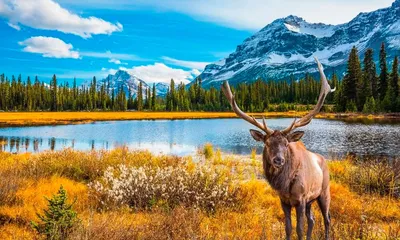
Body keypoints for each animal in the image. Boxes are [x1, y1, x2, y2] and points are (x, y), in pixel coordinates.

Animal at [222, 57, 334, 239]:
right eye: (267, 143)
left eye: (286, 144)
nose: (278, 160)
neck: (285, 185)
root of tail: (323, 160)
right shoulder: (284, 201)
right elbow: (288, 228)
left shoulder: (301, 199)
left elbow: (299, 229)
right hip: (311, 200)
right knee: (313, 220)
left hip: (324, 192)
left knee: (327, 219)